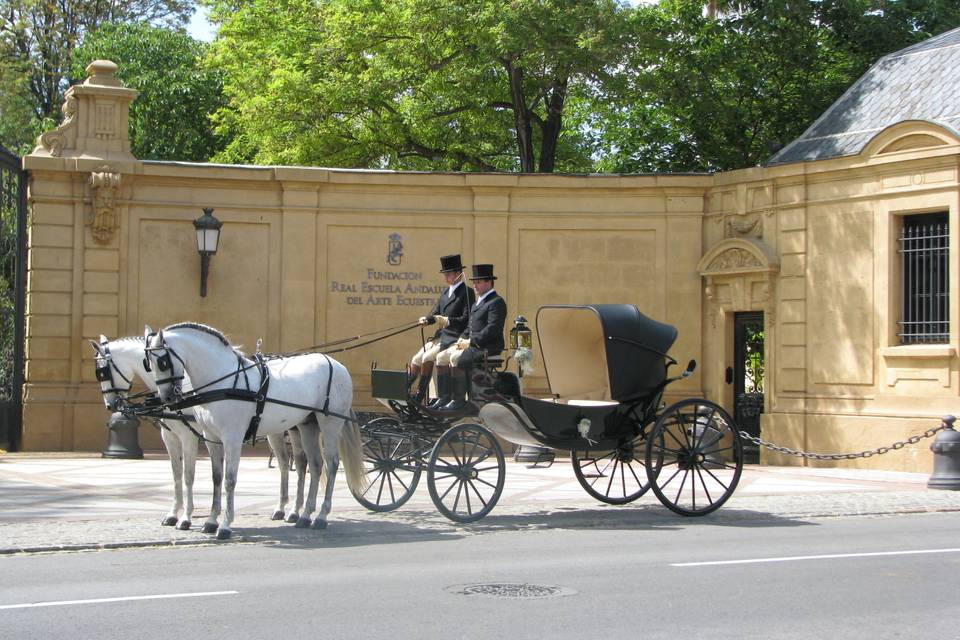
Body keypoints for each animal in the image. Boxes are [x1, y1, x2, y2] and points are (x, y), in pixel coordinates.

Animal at [89, 336, 308, 528]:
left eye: (103, 372)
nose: (111, 405)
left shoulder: (189, 437)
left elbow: (189, 475)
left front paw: (186, 517)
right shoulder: (170, 437)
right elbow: (176, 474)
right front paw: (173, 514)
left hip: (295, 429)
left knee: (300, 464)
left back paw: (295, 511)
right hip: (276, 431)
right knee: (284, 464)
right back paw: (282, 509)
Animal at [144, 322, 366, 536]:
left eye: (162, 362)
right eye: (148, 364)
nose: (167, 397)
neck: (223, 380)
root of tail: (337, 365)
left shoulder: (231, 437)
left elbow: (229, 480)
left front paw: (224, 525)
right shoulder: (211, 437)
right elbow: (216, 478)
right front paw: (211, 521)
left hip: (330, 424)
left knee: (332, 464)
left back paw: (321, 516)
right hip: (307, 425)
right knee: (315, 464)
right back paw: (304, 515)